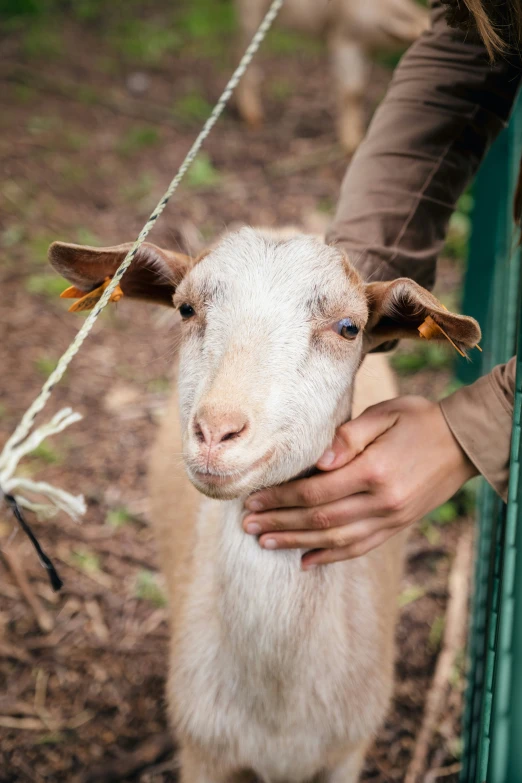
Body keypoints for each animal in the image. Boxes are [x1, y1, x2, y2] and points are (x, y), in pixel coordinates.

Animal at [49, 231, 480, 783]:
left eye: (348, 328)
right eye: (185, 308)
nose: (216, 432)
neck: (278, 716)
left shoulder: (347, 752)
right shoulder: (203, 750)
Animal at [235, 0, 426, 153]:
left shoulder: (368, 50)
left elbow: (360, 90)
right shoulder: (343, 40)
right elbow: (351, 92)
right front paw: (351, 144)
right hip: (251, 12)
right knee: (244, 52)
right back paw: (253, 117)